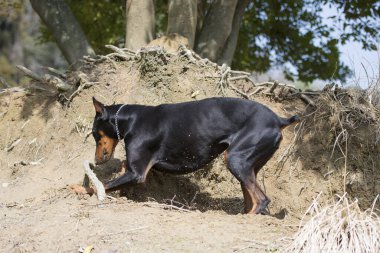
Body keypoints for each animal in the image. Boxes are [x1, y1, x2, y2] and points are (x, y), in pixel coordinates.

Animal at [90, 96, 298, 213]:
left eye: (94, 134)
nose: (96, 160)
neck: (132, 119)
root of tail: (278, 120)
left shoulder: (137, 174)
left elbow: (99, 185)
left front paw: (85, 191)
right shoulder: (134, 169)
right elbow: (117, 173)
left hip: (235, 160)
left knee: (262, 200)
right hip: (248, 166)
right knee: (252, 199)